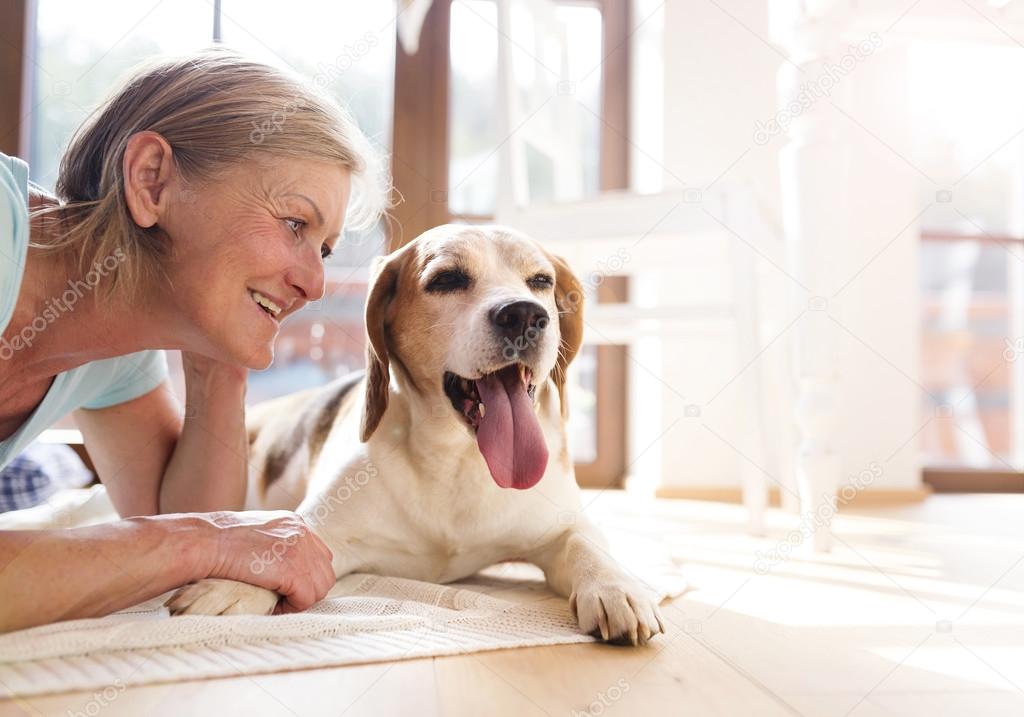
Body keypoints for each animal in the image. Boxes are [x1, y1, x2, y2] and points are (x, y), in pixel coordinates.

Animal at [167, 222, 663, 643]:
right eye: (446, 279)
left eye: (540, 280)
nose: (525, 314)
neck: (457, 459)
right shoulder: (326, 529)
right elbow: (286, 544)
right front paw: (233, 586)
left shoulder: (562, 524)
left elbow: (584, 543)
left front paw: (616, 586)